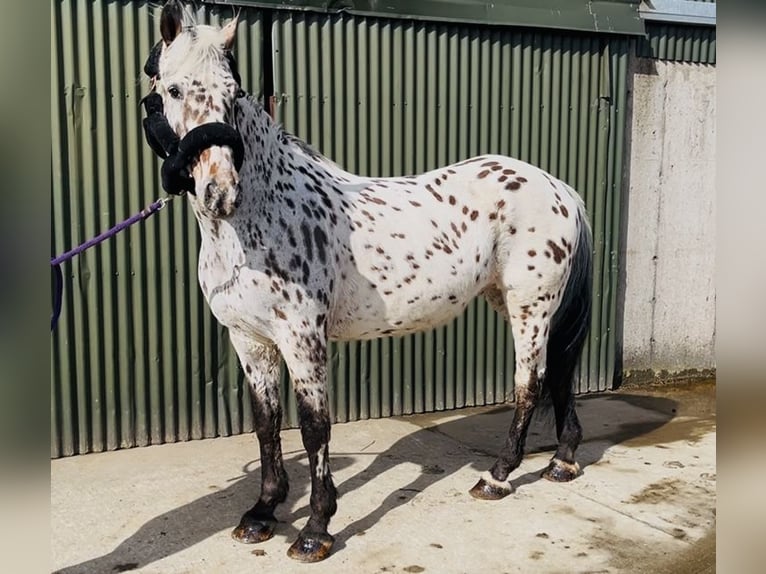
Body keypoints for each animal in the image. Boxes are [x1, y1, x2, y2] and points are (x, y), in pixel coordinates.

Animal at [147, 0, 593, 562]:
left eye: (233, 93)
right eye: (173, 89)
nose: (219, 192)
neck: (257, 219)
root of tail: (557, 187)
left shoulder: (303, 338)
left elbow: (314, 428)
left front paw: (315, 529)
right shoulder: (250, 340)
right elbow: (266, 423)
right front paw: (262, 513)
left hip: (529, 306)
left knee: (530, 383)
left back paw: (497, 477)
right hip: (522, 304)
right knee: (559, 375)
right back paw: (562, 461)